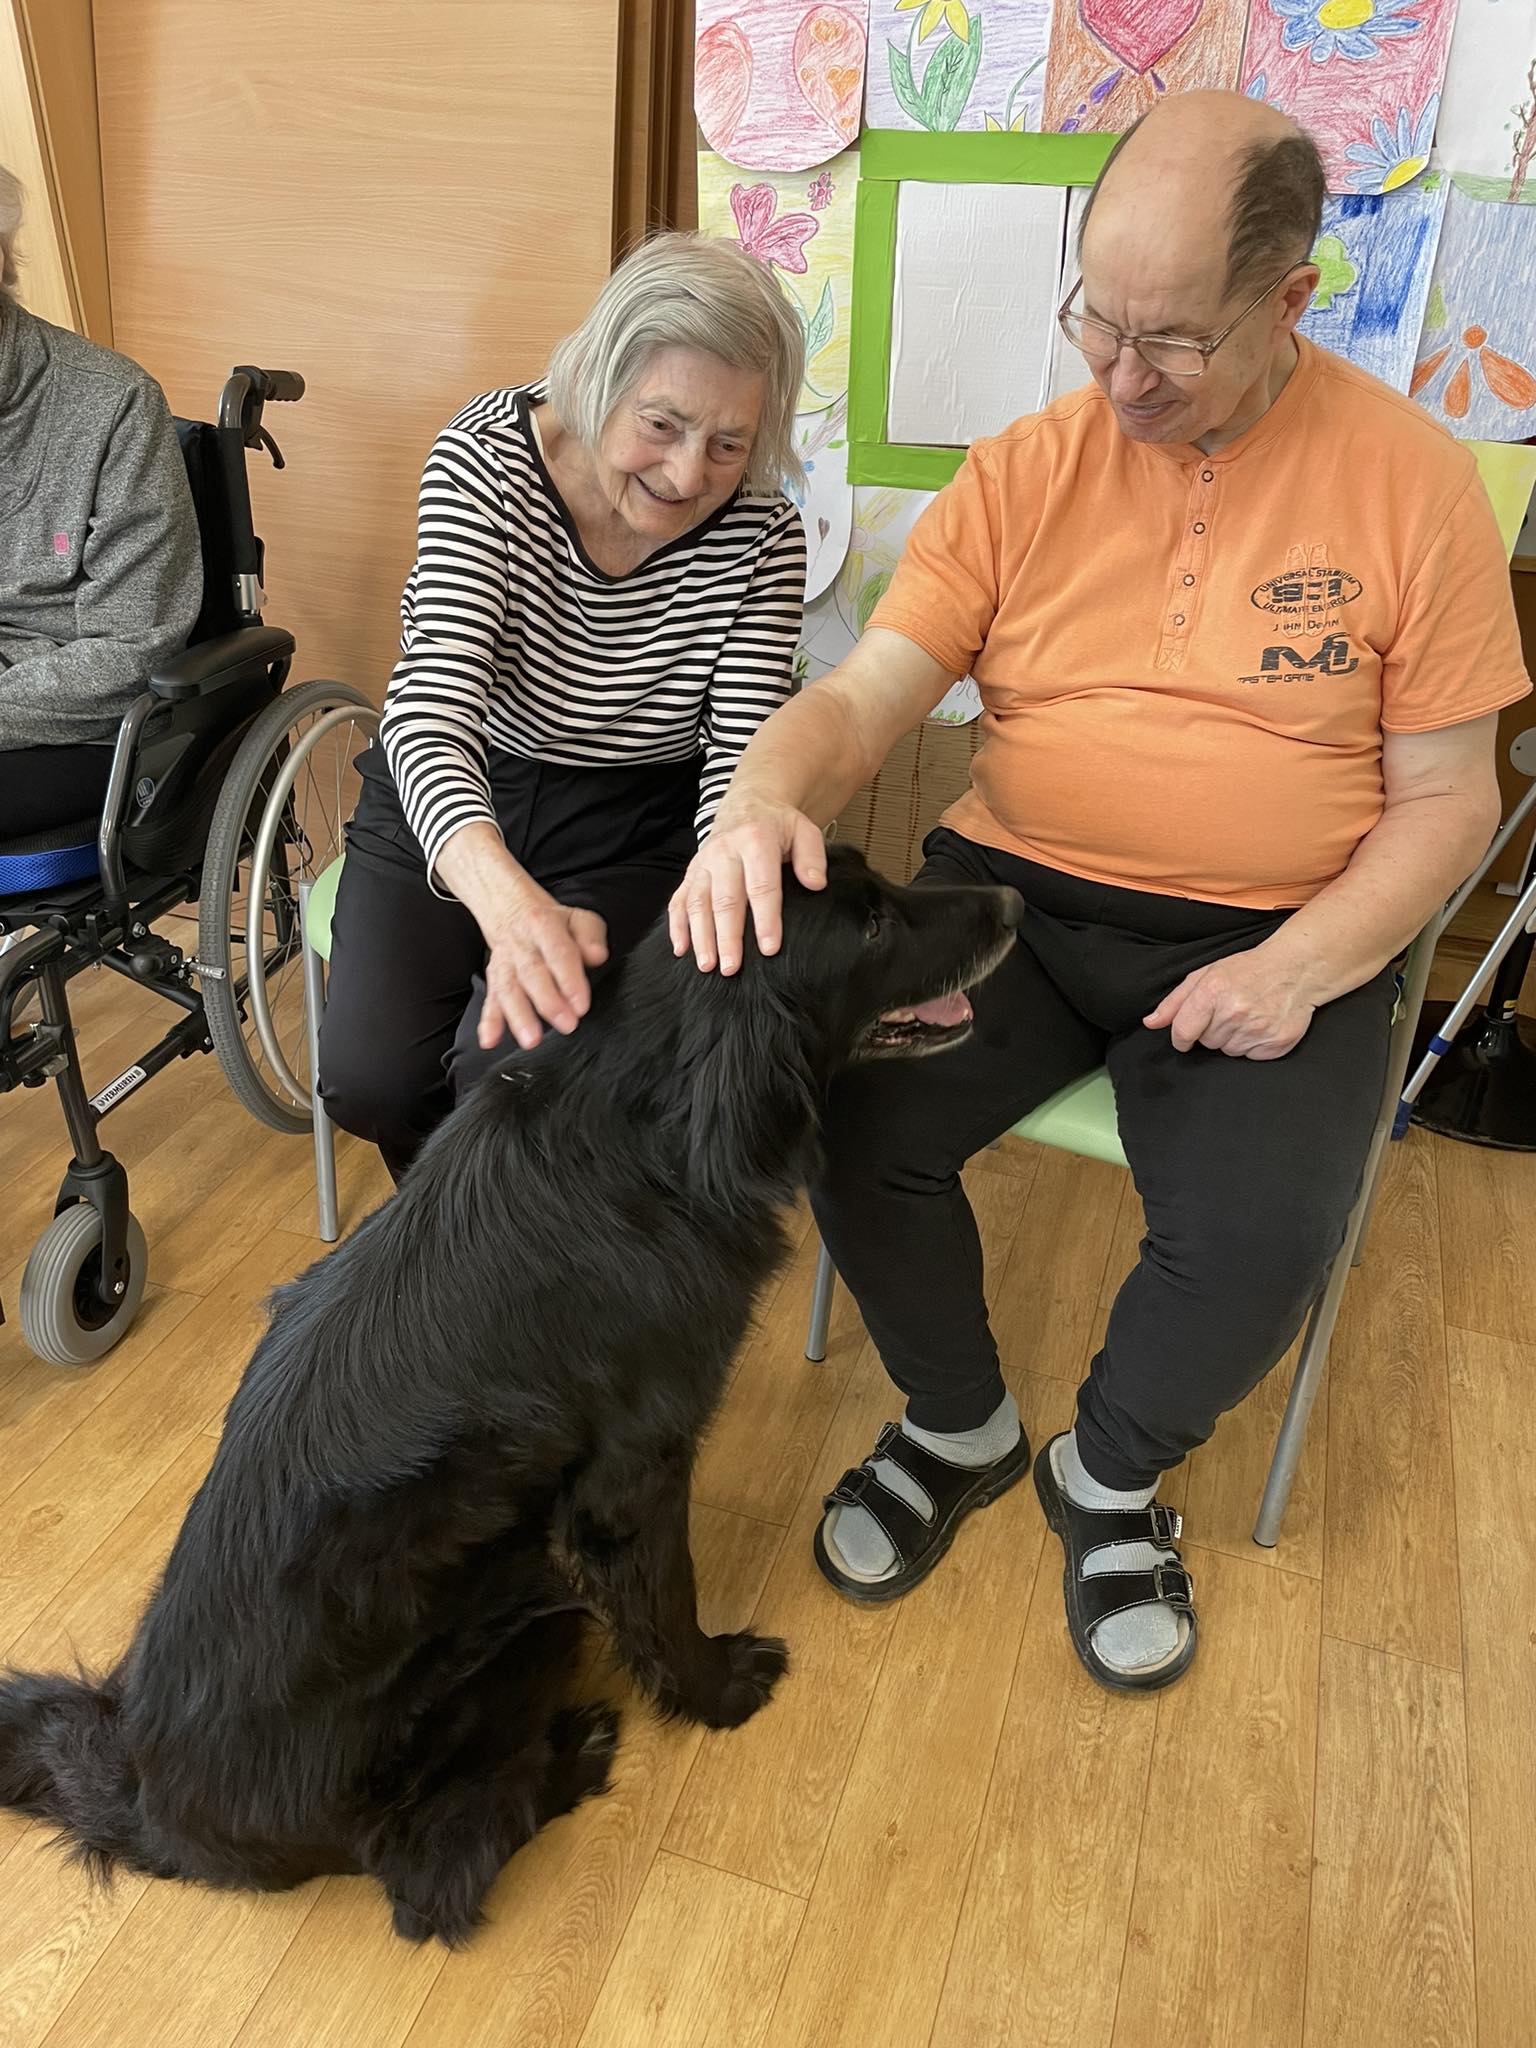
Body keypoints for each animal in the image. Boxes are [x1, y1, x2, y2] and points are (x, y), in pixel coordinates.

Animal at [0, 844, 1019, 1945]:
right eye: (870, 925)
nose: (1013, 901)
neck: (649, 1122)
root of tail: (146, 1798)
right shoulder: (632, 1481)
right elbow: (668, 1604)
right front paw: (717, 1688)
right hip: (514, 1613)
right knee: (428, 1879)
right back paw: (575, 1752)